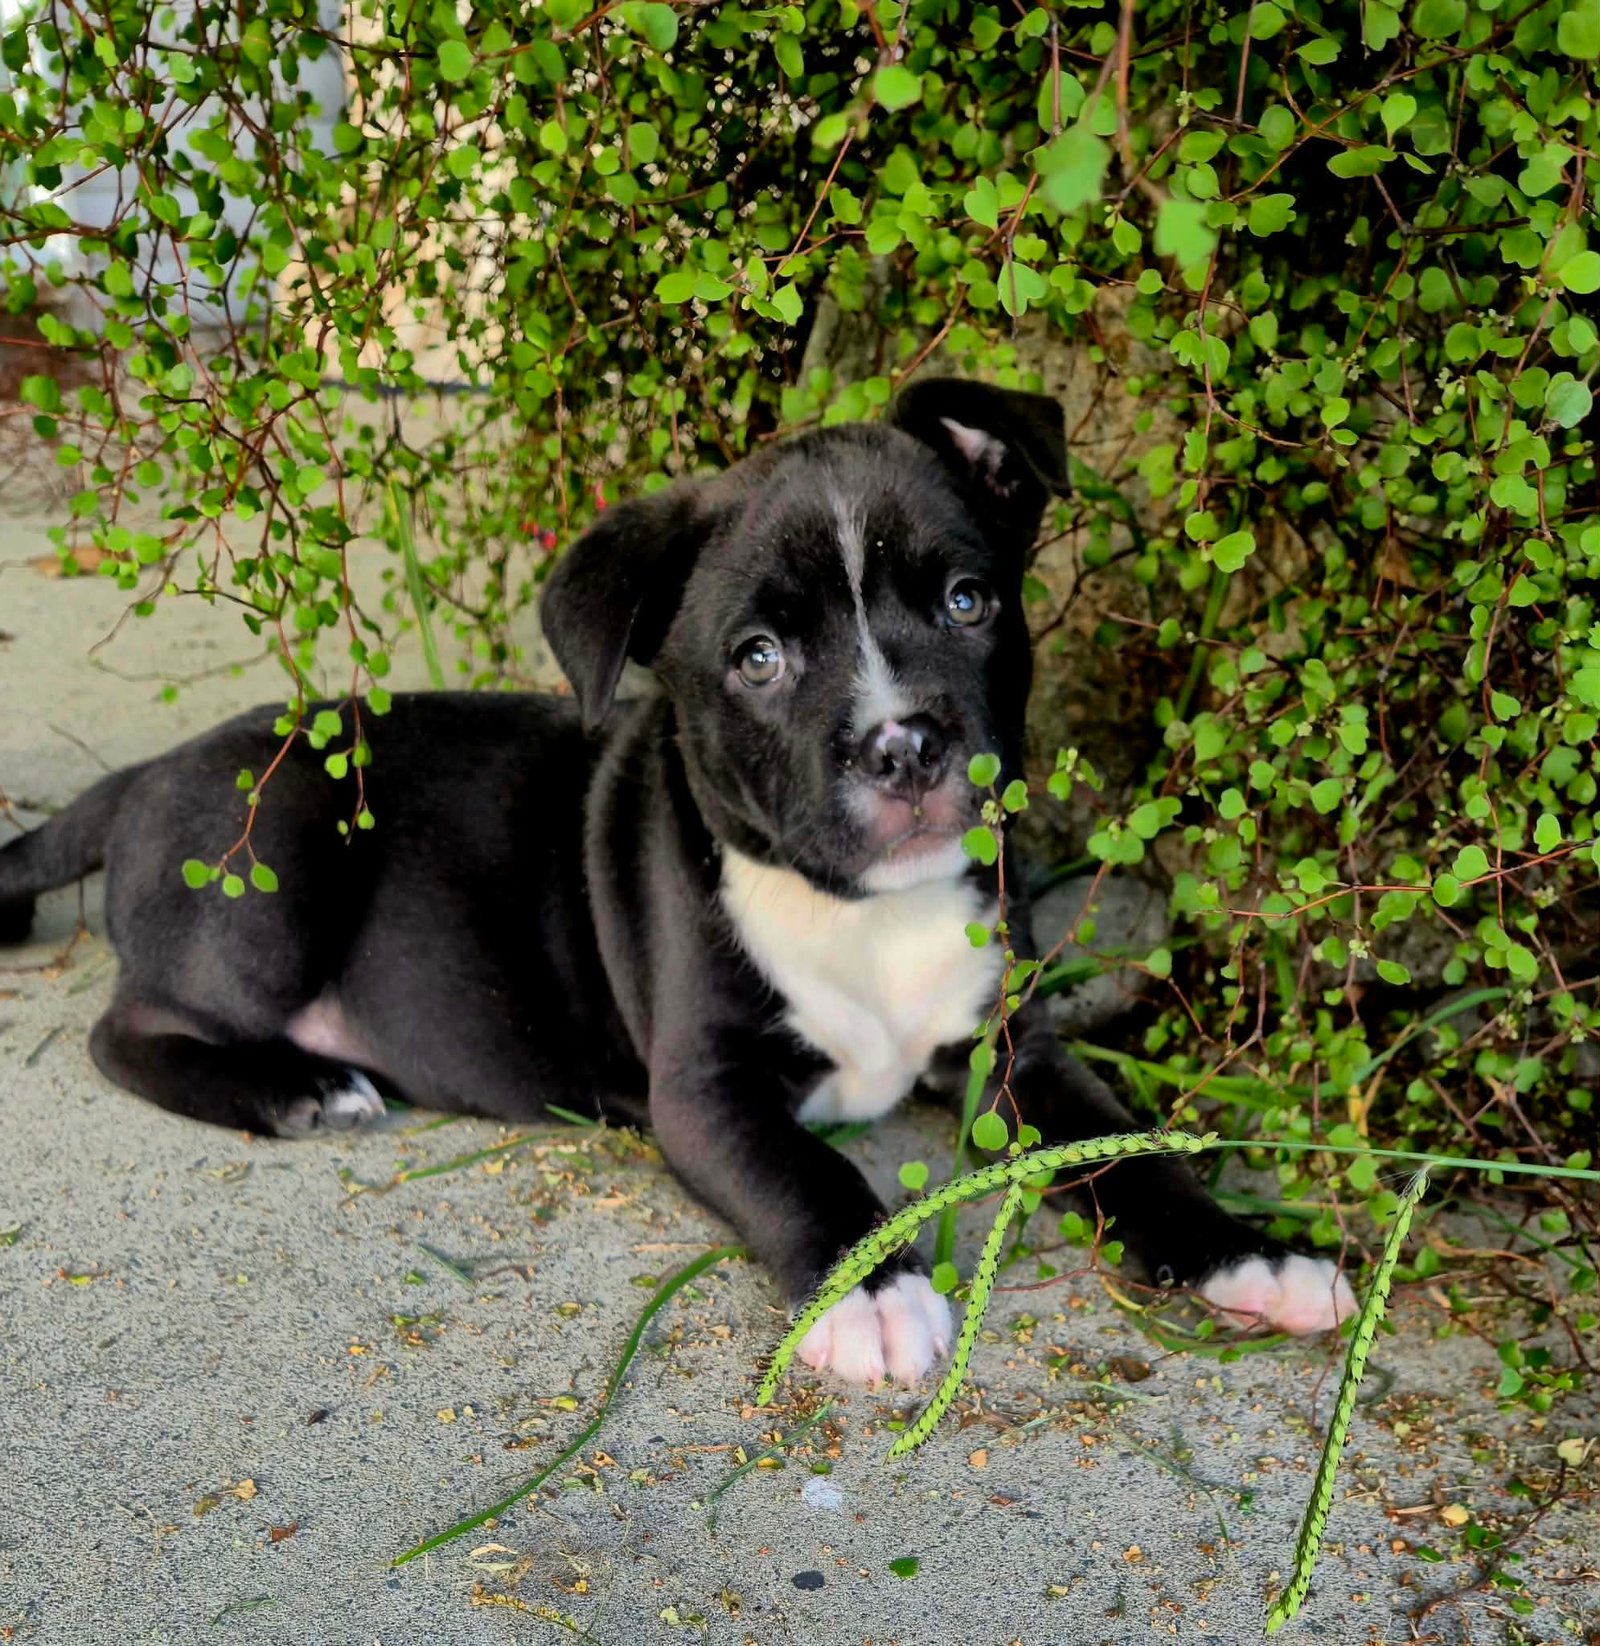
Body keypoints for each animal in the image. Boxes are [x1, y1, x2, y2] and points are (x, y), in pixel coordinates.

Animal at [0, 376, 1353, 1385]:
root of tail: (144, 772)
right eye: (757, 658)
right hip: (272, 869)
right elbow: (805, 1168)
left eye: (969, 600)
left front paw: (1248, 1254)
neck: (861, 912)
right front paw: (873, 1289)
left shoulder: (1011, 1040)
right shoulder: (702, 1087)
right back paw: (296, 1088)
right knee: (126, 1031)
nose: (906, 745)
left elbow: (1131, 1148)